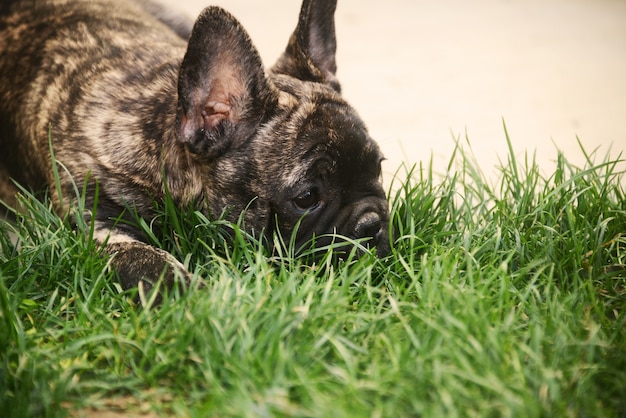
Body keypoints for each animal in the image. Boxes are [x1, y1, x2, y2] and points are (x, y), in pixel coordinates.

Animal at [0, 0, 388, 292]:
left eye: (380, 167)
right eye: (306, 198)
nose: (372, 225)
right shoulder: (95, 224)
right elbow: (143, 259)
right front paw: (188, 295)